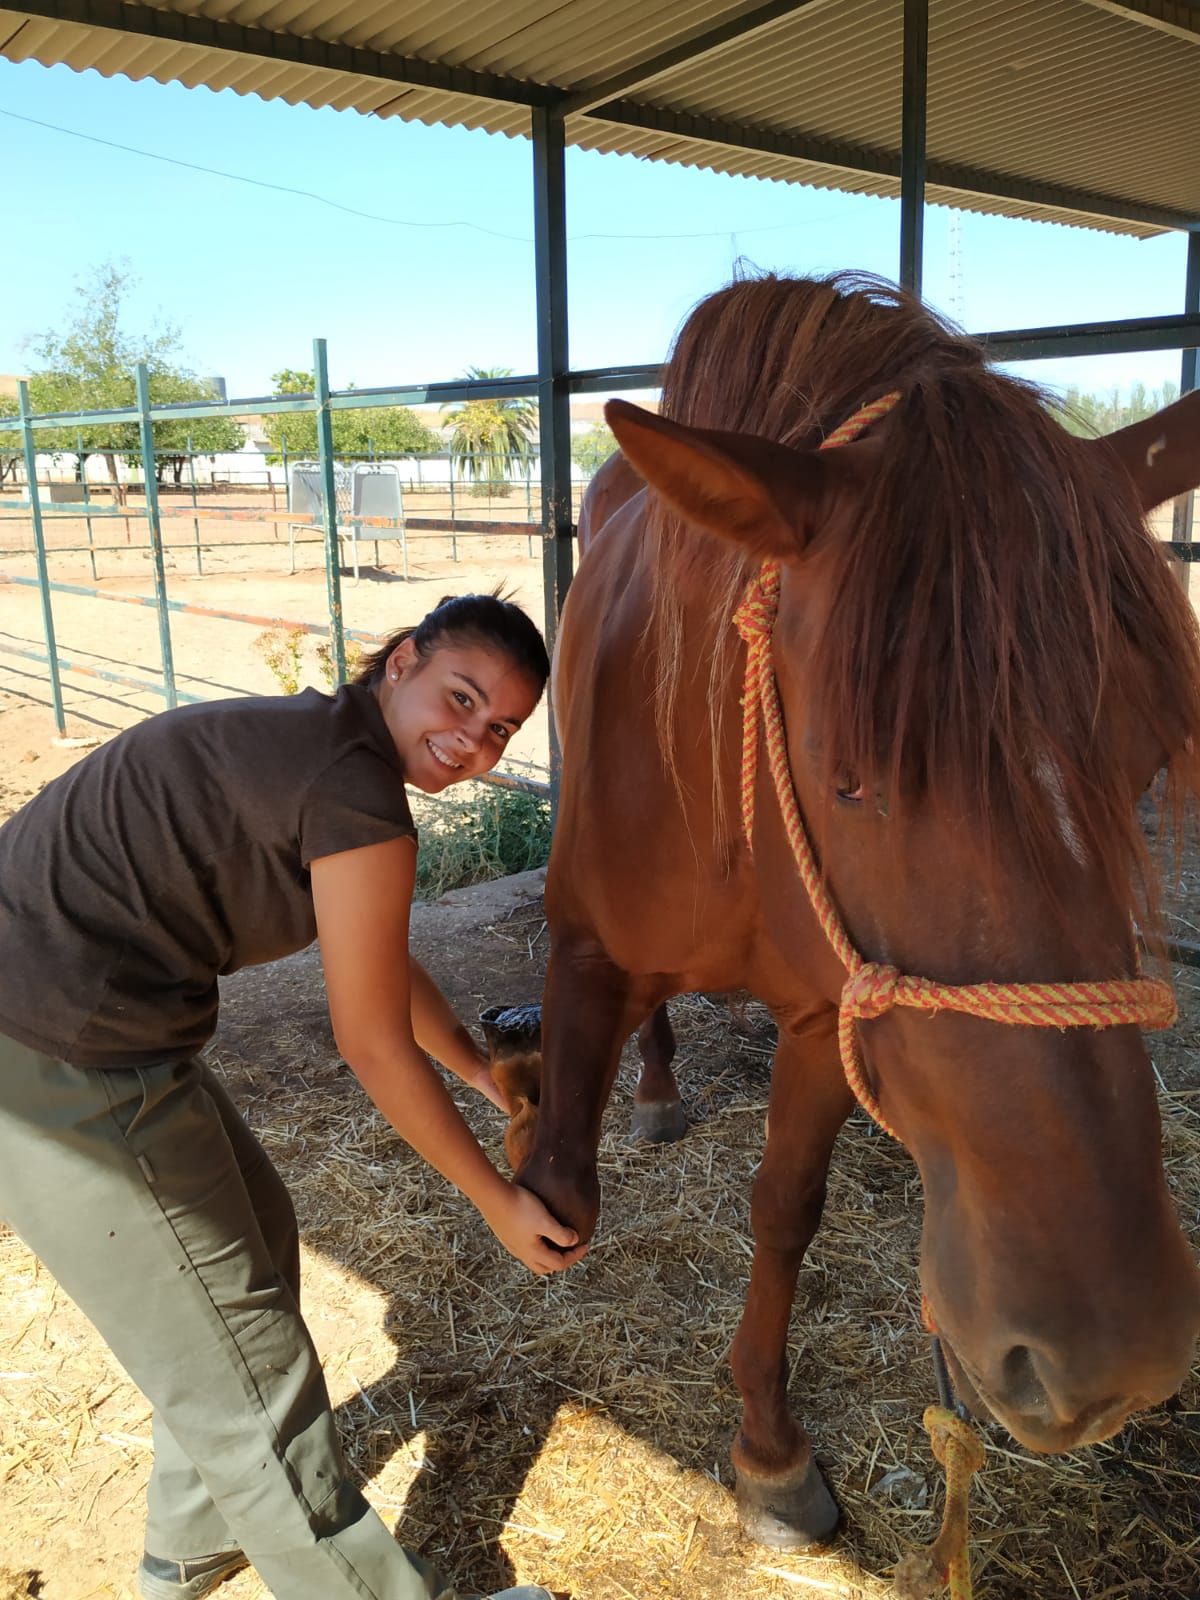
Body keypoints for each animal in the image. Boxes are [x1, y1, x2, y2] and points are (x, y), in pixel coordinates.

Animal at [512, 275, 1200, 1548]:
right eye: (851, 777)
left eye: (1141, 755)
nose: (1112, 1357)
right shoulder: (582, 953)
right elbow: (558, 1178)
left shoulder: (828, 1019)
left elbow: (786, 1209)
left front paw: (769, 1449)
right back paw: (660, 1088)